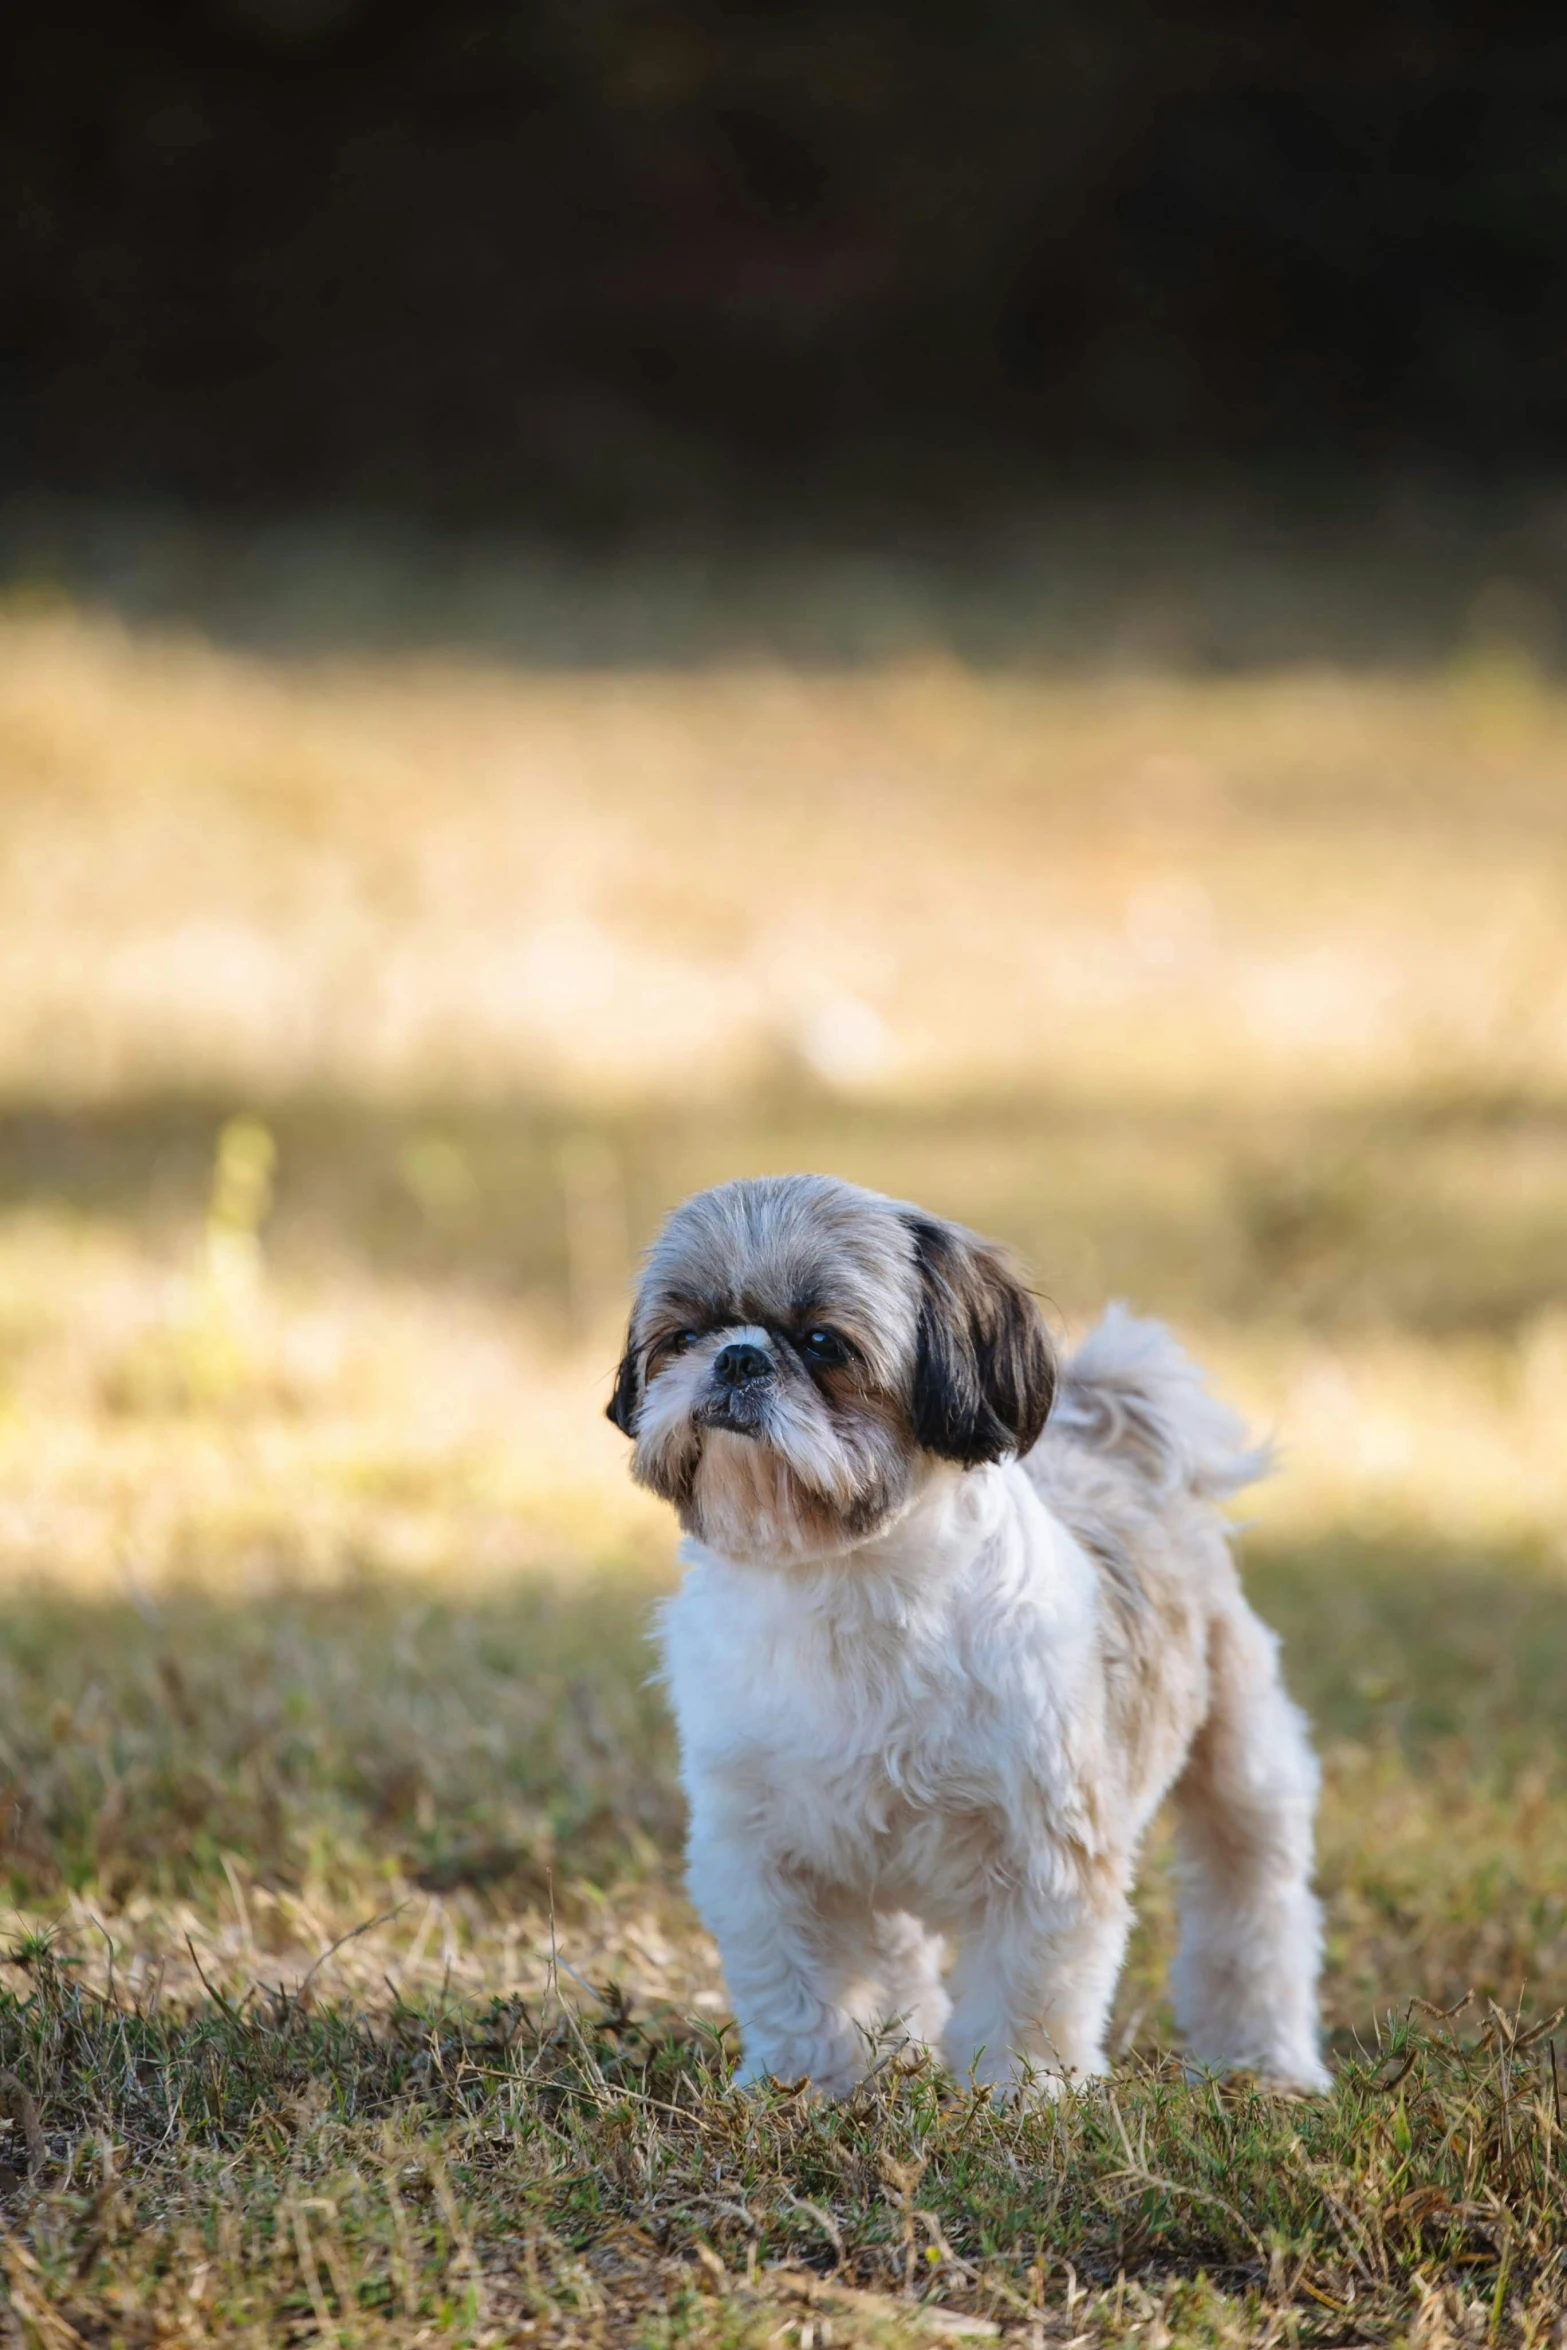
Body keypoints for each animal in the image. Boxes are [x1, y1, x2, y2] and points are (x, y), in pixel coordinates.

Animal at [606, 1175, 1334, 2096]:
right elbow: (797, 1982)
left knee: (1252, 1910)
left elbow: (1029, 1987)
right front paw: (804, 2085)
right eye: (683, 1336)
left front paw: (1020, 2092)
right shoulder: (762, 1845)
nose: (737, 1357)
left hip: (1240, 1762)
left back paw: (1266, 2060)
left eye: (822, 1343)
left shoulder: (1046, 1847)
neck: (847, 1580)